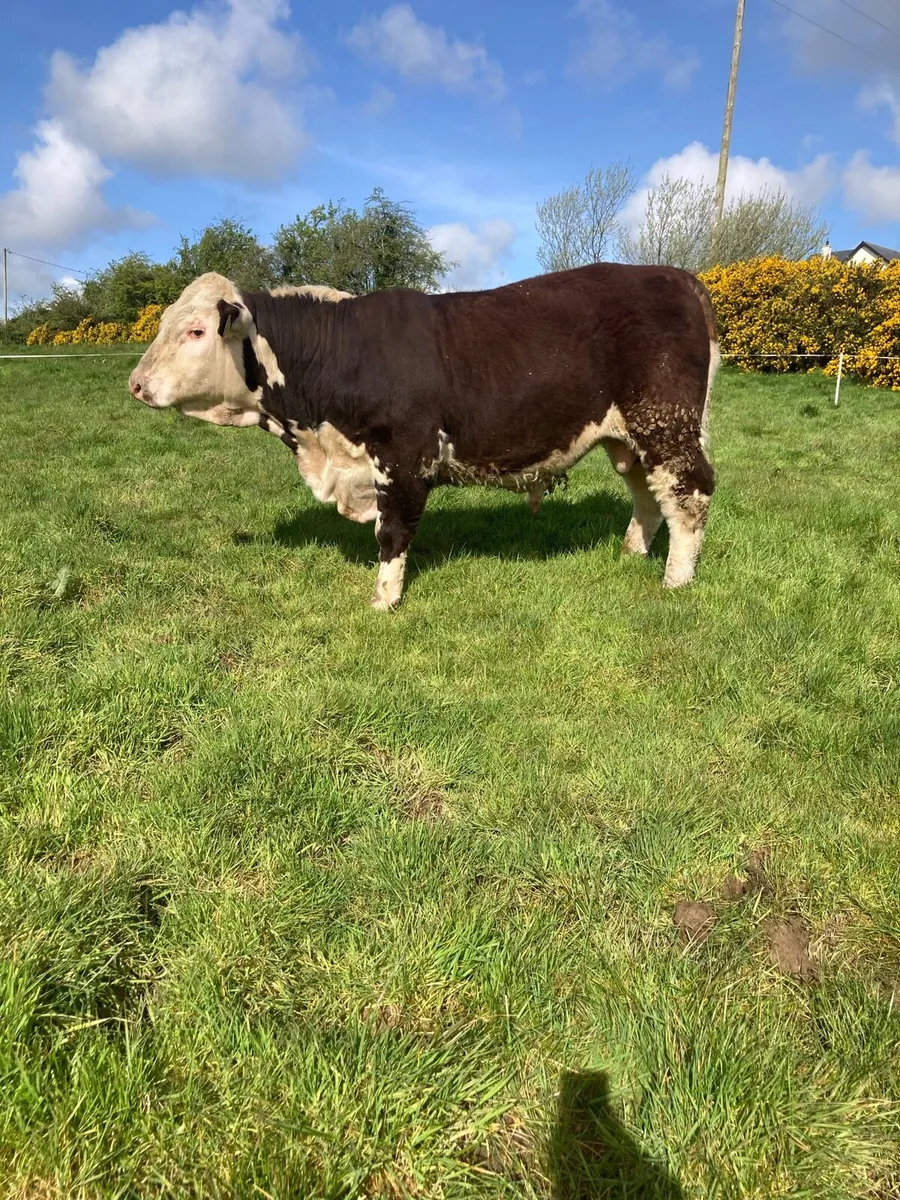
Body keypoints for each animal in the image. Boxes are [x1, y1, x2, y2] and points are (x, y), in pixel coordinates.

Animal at [129, 264, 719, 610]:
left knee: (690, 494)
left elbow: (392, 534)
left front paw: (384, 603)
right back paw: (631, 553)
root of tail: (678, 276)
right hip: (630, 438)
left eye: (196, 331)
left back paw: (676, 581)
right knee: (649, 494)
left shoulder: (403, 457)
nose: (135, 383)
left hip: (666, 422)